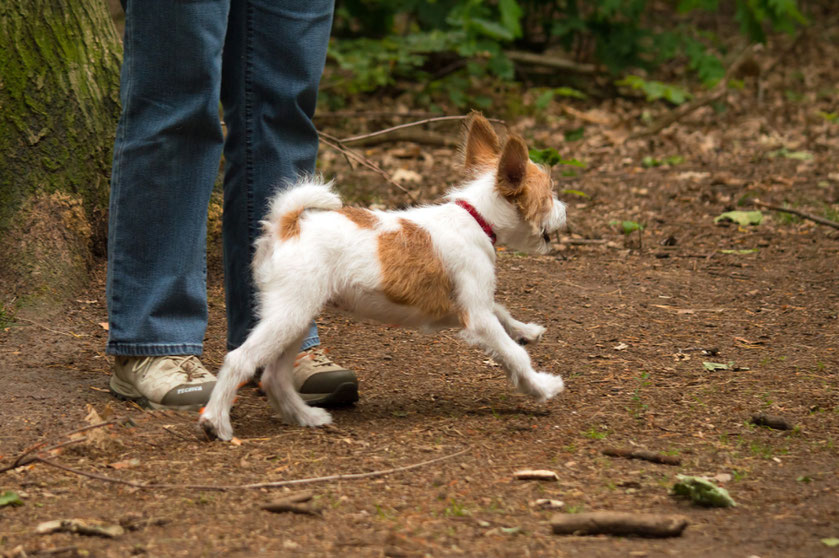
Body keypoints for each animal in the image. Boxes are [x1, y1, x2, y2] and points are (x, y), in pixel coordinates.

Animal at [199, 112, 564, 442]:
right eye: (548, 194)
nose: (565, 210)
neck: (475, 217)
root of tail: (287, 226)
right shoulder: (476, 317)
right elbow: (513, 353)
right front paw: (541, 386)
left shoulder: (464, 307)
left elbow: (502, 312)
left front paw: (526, 330)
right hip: (289, 316)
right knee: (239, 359)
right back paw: (216, 421)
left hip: (296, 318)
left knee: (274, 376)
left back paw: (307, 416)